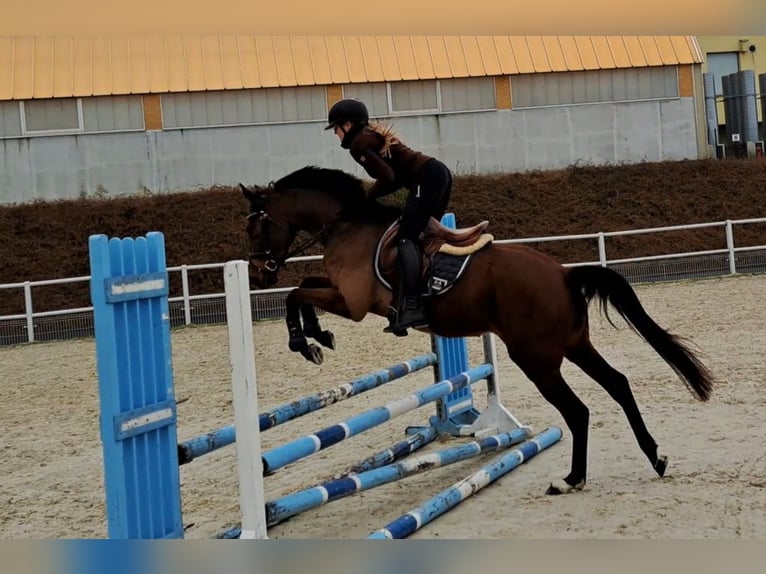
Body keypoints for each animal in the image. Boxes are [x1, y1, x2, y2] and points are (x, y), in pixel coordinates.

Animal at [237, 165, 716, 496]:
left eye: (256, 224)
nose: (258, 273)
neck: (346, 225)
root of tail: (563, 274)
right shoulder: (340, 293)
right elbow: (302, 288)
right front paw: (318, 338)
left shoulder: (351, 303)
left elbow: (295, 294)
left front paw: (307, 342)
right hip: (574, 346)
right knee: (618, 384)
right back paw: (655, 457)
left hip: (537, 359)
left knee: (578, 410)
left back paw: (572, 479)